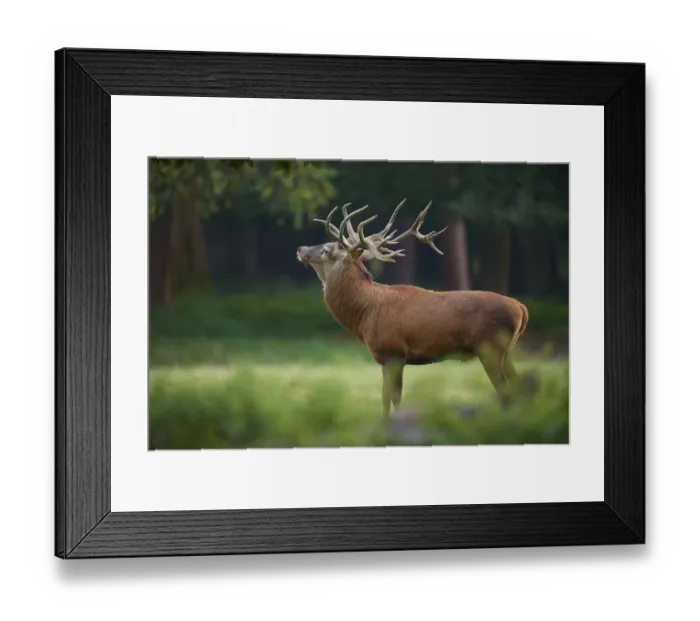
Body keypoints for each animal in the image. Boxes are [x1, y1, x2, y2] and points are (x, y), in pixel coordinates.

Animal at [296, 200, 530, 418]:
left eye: (326, 249)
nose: (300, 249)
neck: (366, 312)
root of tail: (521, 308)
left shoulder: (394, 352)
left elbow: (393, 398)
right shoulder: (387, 359)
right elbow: (388, 398)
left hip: (491, 347)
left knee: (505, 391)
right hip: (507, 350)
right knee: (519, 385)